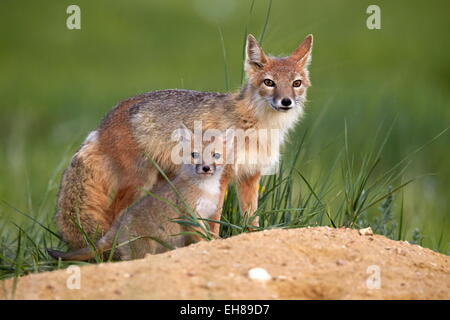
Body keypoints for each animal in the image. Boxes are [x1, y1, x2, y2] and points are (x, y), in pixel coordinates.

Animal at [49, 131, 227, 262]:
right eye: (194, 154)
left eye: (216, 155)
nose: (206, 168)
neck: (206, 188)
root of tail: (117, 226)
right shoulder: (190, 215)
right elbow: (201, 237)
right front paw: (209, 244)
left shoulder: (206, 214)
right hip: (141, 249)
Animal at [56, 33, 314, 249]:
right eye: (269, 82)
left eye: (296, 83)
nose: (286, 102)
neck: (256, 126)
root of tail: (102, 122)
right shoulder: (222, 178)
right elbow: (215, 221)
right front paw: (212, 243)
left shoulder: (250, 177)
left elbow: (252, 222)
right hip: (140, 182)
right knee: (114, 214)